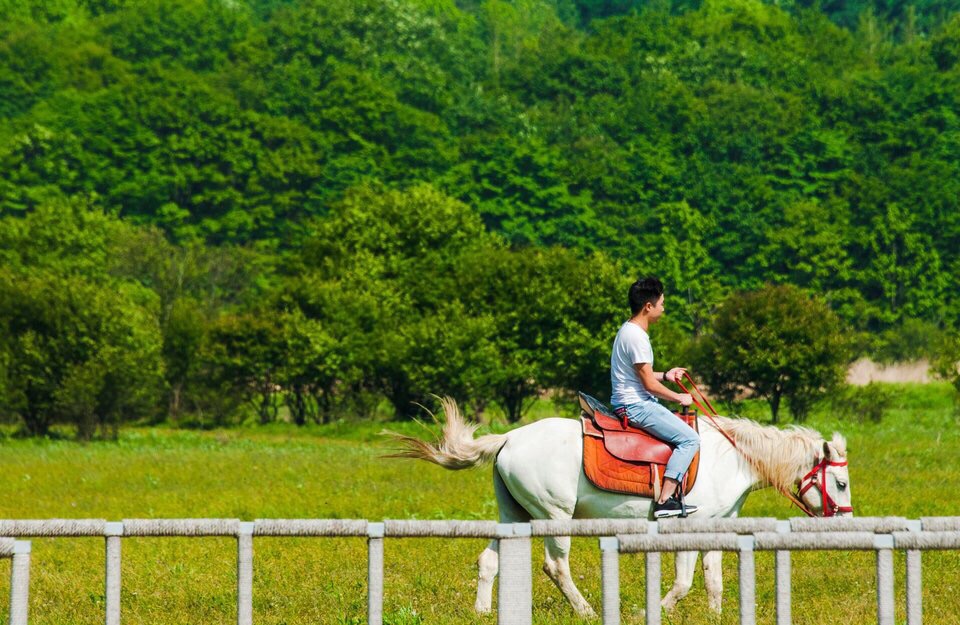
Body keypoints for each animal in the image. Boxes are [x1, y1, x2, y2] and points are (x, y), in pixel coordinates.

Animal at [390, 398, 856, 616]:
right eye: (841, 482)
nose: (843, 522)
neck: (733, 458)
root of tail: (509, 438)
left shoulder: (718, 528)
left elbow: (713, 579)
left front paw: (715, 614)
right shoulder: (687, 528)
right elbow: (685, 580)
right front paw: (651, 610)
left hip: (513, 516)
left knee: (489, 561)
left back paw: (483, 611)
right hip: (553, 518)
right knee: (555, 566)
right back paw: (585, 610)